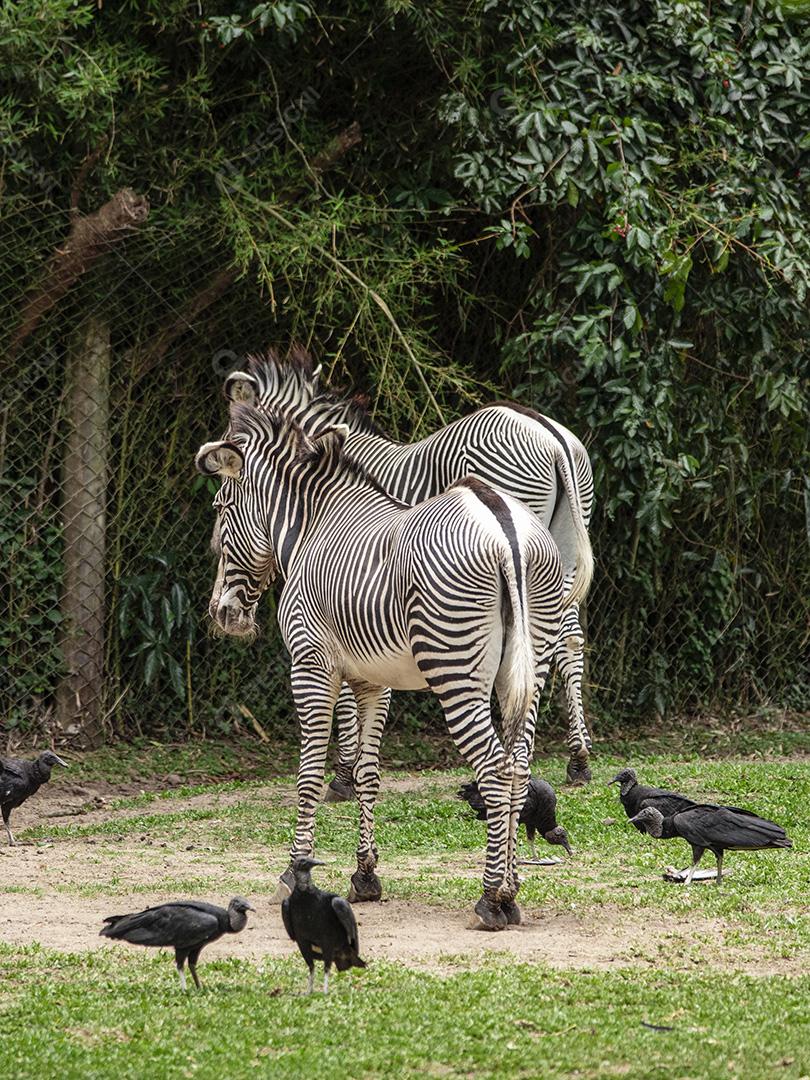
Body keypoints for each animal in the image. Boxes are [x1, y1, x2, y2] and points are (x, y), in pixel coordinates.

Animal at [196, 402, 572, 929]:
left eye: (220, 508)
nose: (223, 615)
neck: (314, 526)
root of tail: (503, 524)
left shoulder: (311, 665)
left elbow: (308, 773)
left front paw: (294, 872)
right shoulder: (374, 682)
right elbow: (367, 774)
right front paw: (365, 876)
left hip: (455, 669)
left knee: (496, 771)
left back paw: (491, 898)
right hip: (528, 669)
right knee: (519, 769)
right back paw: (513, 888)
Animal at [221, 350, 596, 787]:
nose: (226, 614)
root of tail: (550, 435)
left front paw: (344, 773)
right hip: (561, 547)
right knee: (567, 639)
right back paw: (577, 759)